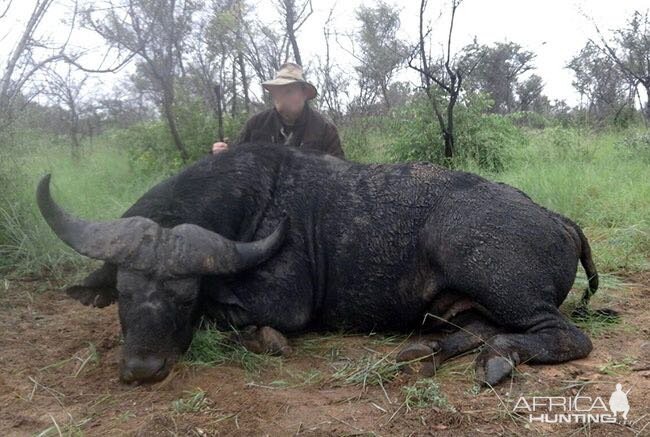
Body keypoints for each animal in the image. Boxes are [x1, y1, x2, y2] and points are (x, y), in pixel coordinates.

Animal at [36, 141, 604, 384]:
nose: (143, 370)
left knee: (565, 336)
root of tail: (555, 218)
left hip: (495, 281)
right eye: (125, 294)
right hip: (465, 305)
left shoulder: (284, 305)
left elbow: (231, 319)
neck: (251, 203)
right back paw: (423, 352)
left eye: (184, 296)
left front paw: (262, 338)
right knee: (475, 330)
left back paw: (496, 360)